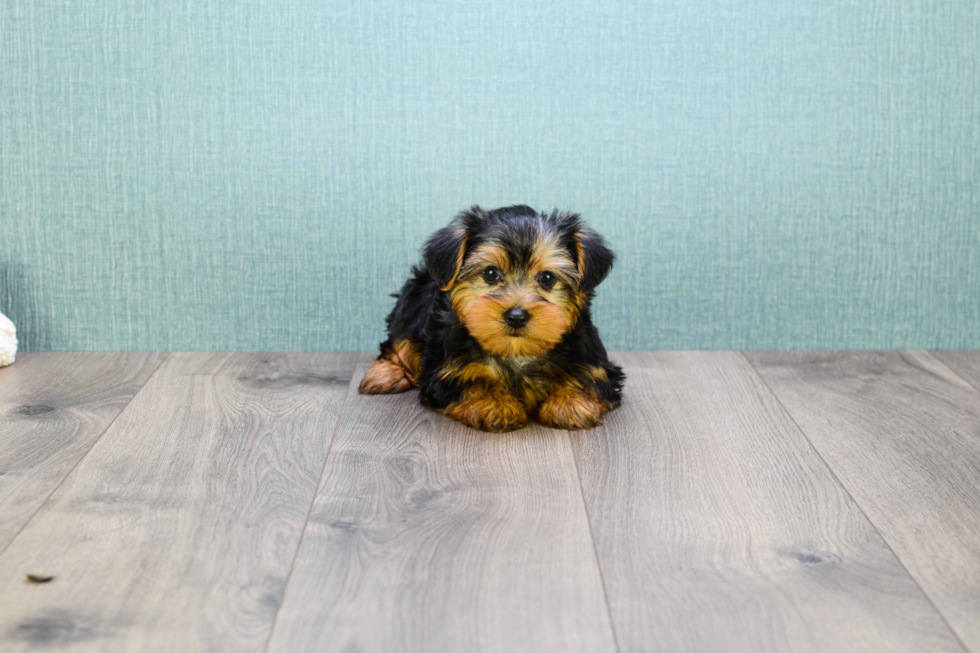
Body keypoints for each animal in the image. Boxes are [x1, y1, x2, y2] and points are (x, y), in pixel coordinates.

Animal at [356, 201, 624, 430]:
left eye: (548, 278)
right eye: (491, 273)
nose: (516, 316)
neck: (517, 352)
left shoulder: (595, 363)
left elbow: (589, 379)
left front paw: (569, 404)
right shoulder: (445, 372)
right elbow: (473, 383)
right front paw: (497, 405)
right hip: (412, 299)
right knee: (398, 341)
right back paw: (386, 374)